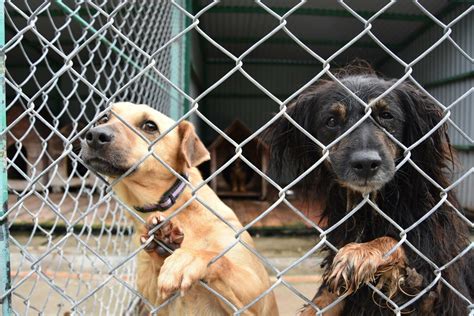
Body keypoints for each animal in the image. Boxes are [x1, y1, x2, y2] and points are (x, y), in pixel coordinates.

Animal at [81, 102, 278, 314]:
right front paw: (162, 242)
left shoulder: (257, 294)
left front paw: (188, 258)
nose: (95, 135)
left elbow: (219, 259)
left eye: (150, 126)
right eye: (104, 118)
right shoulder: (154, 300)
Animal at [268, 73, 472, 314]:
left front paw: (359, 253)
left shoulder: (443, 283)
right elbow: (319, 303)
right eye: (331, 121)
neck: (372, 206)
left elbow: (396, 242)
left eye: (386, 115)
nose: (366, 163)